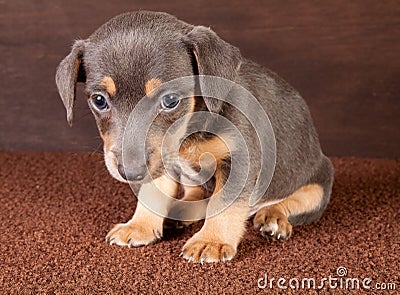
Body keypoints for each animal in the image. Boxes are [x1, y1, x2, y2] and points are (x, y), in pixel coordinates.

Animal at [54, 11, 332, 264]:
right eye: (99, 100)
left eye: (170, 100)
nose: (130, 172)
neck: (190, 132)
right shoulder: (162, 161)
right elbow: (152, 193)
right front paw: (139, 225)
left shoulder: (240, 159)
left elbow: (223, 202)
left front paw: (211, 241)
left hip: (319, 184)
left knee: (293, 203)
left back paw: (273, 218)